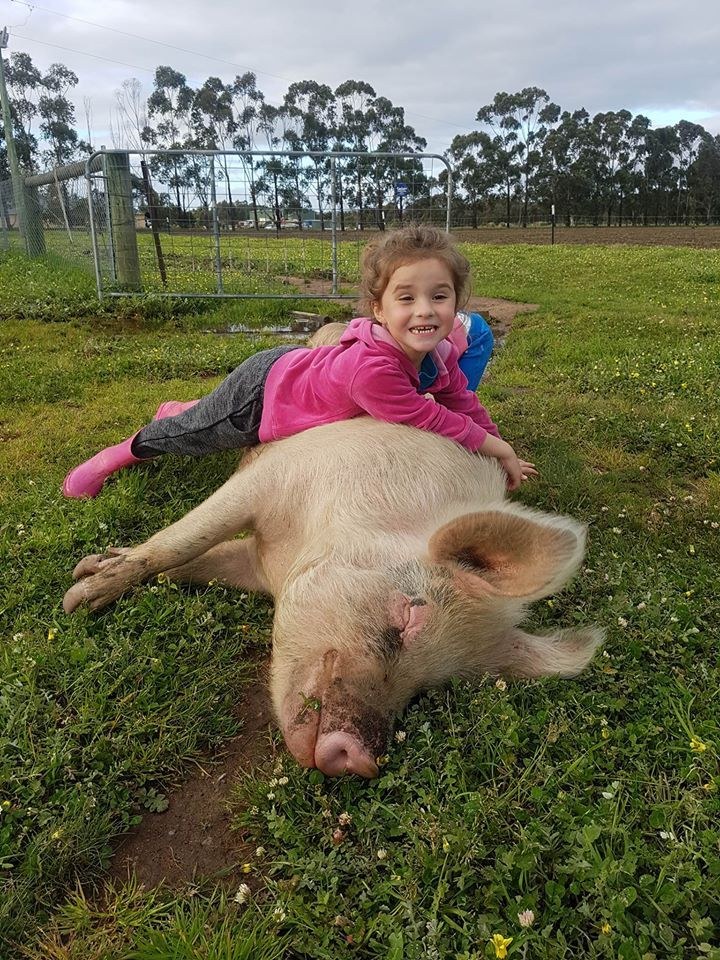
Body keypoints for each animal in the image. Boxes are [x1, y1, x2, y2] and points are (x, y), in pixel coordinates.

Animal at [63, 420, 600, 780]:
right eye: (408, 617)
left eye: (431, 686)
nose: (359, 758)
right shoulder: (274, 478)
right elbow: (181, 542)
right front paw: (78, 596)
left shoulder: (257, 567)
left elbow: (195, 561)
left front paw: (90, 576)